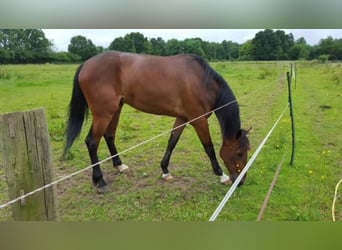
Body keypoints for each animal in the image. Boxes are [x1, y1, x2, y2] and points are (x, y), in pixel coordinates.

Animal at [64, 50, 250, 191]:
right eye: (239, 153)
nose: (241, 182)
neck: (203, 82)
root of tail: (86, 64)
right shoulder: (198, 120)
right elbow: (209, 148)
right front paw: (222, 175)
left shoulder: (182, 118)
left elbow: (172, 142)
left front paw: (165, 171)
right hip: (103, 114)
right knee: (92, 142)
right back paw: (99, 180)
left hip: (115, 109)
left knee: (109, 136)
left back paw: (120, 166)